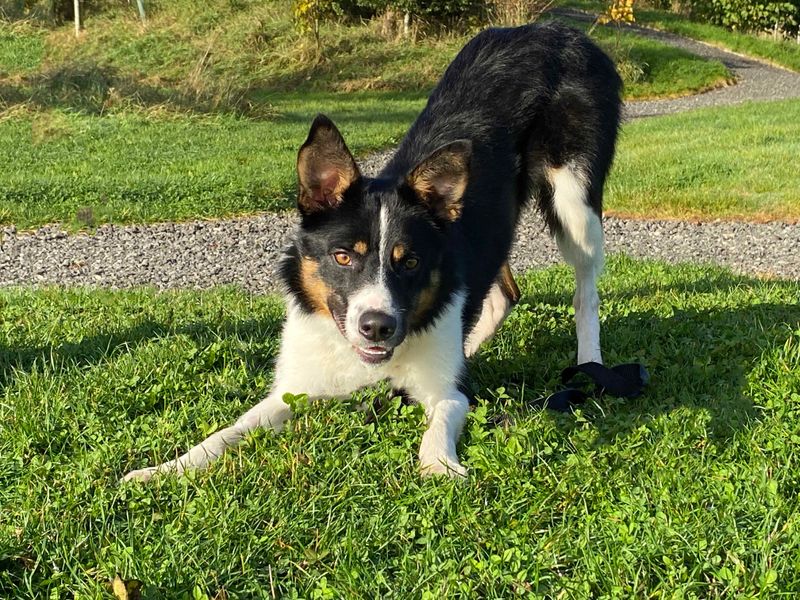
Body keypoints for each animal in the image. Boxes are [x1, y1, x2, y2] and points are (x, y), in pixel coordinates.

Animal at [125, 21, 620, 482]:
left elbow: (440, 422)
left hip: (574, 204)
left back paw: (590, 364)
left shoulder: (448, 392)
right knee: (503, 292)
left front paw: (441, 465)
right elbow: (226, 433)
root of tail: (552, 30)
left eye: (410, 262)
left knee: (586, 292)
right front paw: (166, 468)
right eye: (343, 256)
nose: (378, 327)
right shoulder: (291, 389)